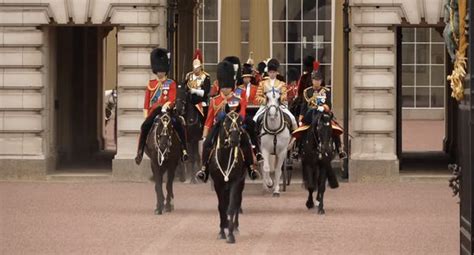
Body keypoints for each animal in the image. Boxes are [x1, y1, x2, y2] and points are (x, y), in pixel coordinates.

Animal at [211, 110, 248, 244]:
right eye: (227, 120)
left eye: (240, 122)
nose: (235, 139)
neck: (226, 156)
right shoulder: (218, 184)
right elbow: (222, 207)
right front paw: (222, 231)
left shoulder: (235, 182)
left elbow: (232, 206)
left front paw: (231, 234)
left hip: (241, 183)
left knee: (237, 202)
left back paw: (235, 227)